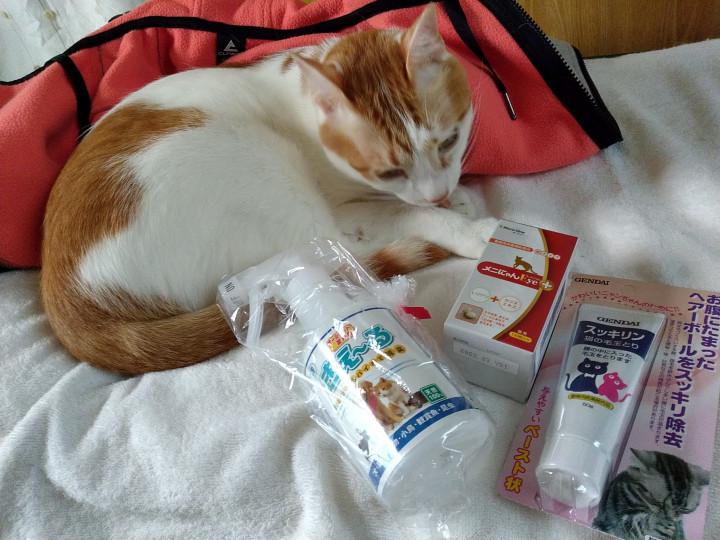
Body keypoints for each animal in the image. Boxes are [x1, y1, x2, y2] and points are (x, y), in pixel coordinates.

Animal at [40, 5, 497, 374]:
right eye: (388, 171)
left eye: (449, 141)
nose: (437, 194)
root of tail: (65, 295)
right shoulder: (347, 211)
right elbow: (410, 212)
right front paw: (470, 229)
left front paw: (456, 198)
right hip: (269, 177)